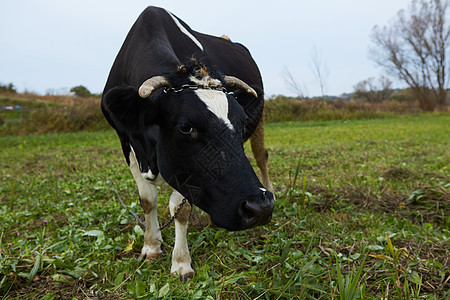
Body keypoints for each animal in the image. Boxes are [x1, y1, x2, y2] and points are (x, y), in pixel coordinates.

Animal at [100, 5, 272, 280]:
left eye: (242, 122)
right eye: (185, 127)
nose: (261, 207)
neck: (151, 157)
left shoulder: (186, 170)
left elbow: (180, 210)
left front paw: (181, 262)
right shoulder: (127, 141)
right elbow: (147, 200)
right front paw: (151, 246)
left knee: (261, 156)